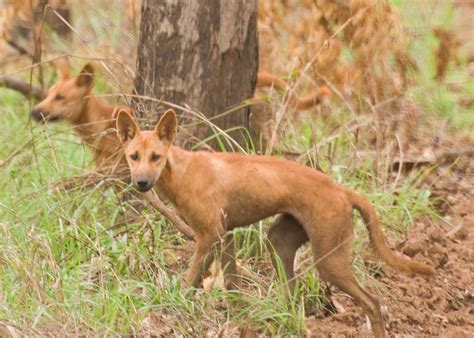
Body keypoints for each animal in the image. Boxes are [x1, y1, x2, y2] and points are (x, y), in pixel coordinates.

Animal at [116, 109, 436, 336]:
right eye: (134, 156)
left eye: (155, 157)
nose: (141, 182)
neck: (180, 172)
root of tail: (342, 190)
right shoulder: (225, 236)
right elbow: (232, 285)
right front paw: (239, 317)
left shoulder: (209, 236)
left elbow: (189, 281)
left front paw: (173, 306)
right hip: (279, 242)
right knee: (295, 298)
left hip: (328, 260)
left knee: (372, 301)